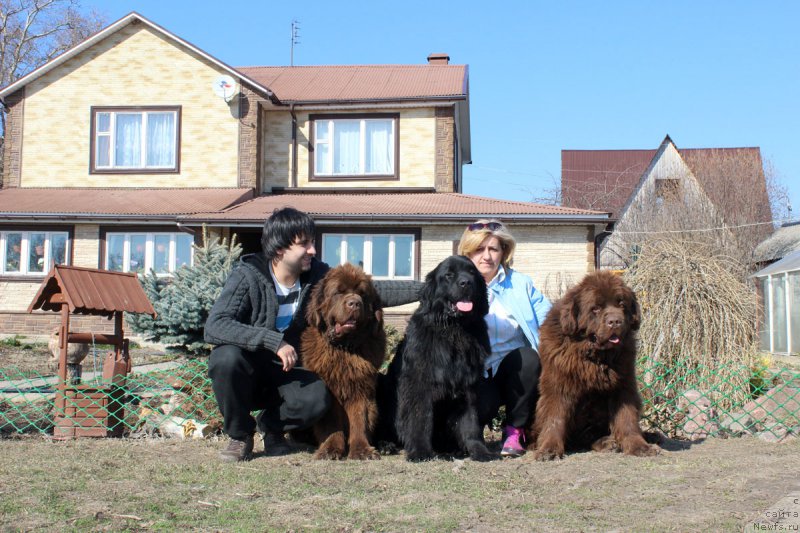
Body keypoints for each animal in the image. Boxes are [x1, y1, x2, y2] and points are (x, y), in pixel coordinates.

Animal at [300, 262, 388, 458]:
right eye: (338, 292)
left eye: (362, 294)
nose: (354, 303)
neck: (344, 349)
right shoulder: (331, 392)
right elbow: (332, 424)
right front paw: (330, 449)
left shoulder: (361, 387)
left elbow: (360, 420)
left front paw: (362, 450)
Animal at [376, 256, 494, 460]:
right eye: (449, 275)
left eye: (472, 272)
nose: (466, 283)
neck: (454, 329)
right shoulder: (419, 385)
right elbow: (420, 418)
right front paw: (420, 451)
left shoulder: (469, 385)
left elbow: (471, 421)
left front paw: (479, 450)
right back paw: (386, 445)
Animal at [528, 272, 660, 460]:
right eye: (595, 308)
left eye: (622, 304)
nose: (615, 321)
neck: (595, 356)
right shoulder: (558, 384)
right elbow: (554, 417)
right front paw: (549, 450)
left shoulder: (624, 385)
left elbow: (627, 419)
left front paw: (640, 446)